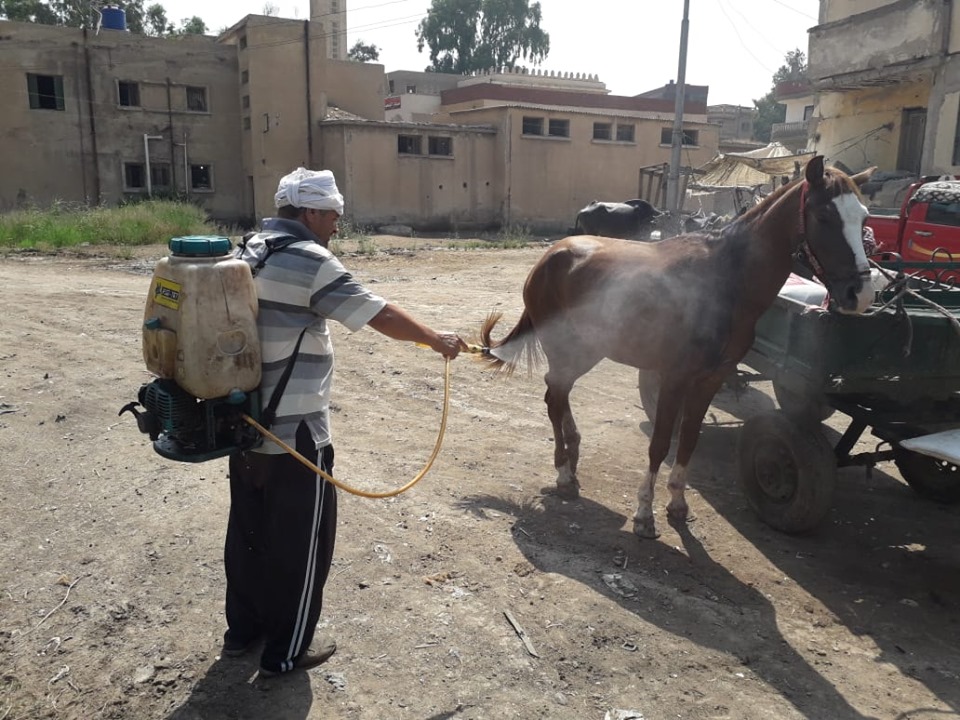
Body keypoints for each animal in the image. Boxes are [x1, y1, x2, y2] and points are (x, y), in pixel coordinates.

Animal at [480, 158, 876, 540]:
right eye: (824, 216)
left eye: (863, 218)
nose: (860, 294)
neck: (723, 282)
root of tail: (552, 255)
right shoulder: (673, 377)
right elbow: (659, 444)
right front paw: (644, 515)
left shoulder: (710, 379)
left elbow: (688, 440)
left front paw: (677, 504)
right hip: (565, 348)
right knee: (555, 396)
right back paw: (564, 474)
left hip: (587, 350)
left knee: (557, 394)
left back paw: (572, 462)